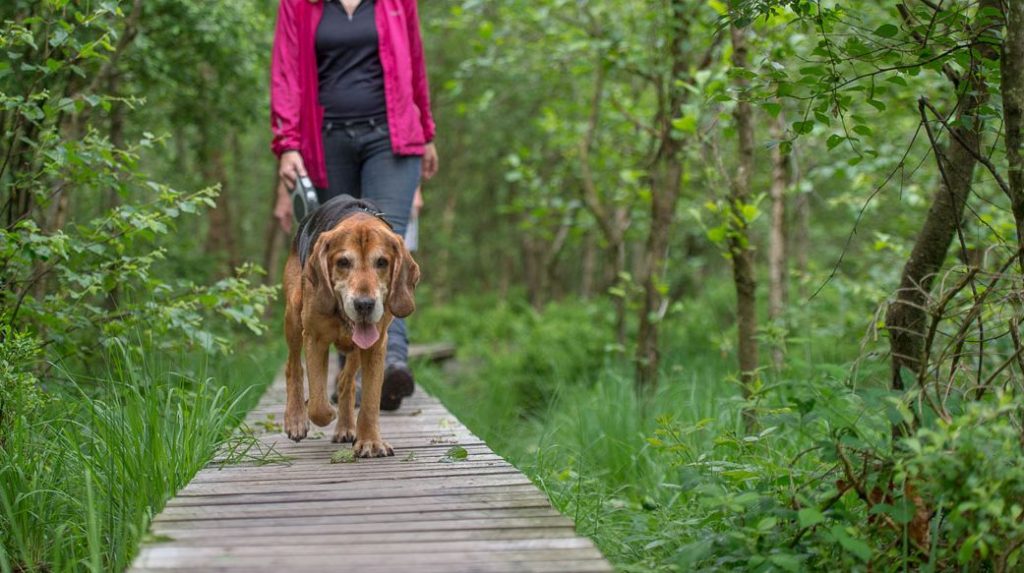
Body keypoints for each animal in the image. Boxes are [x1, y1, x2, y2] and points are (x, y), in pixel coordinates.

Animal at [282, 195, 417, 456]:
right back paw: (296, 418)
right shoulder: (315, 339)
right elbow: (318, 405)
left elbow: (371, 400)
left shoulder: (376, 345)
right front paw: (316, 411)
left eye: (382, 262)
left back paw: (345, 426)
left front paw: (370, 441)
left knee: (346, 382)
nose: (364, 305)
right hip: (293, 314)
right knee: (293, 368)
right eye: (343, 262)